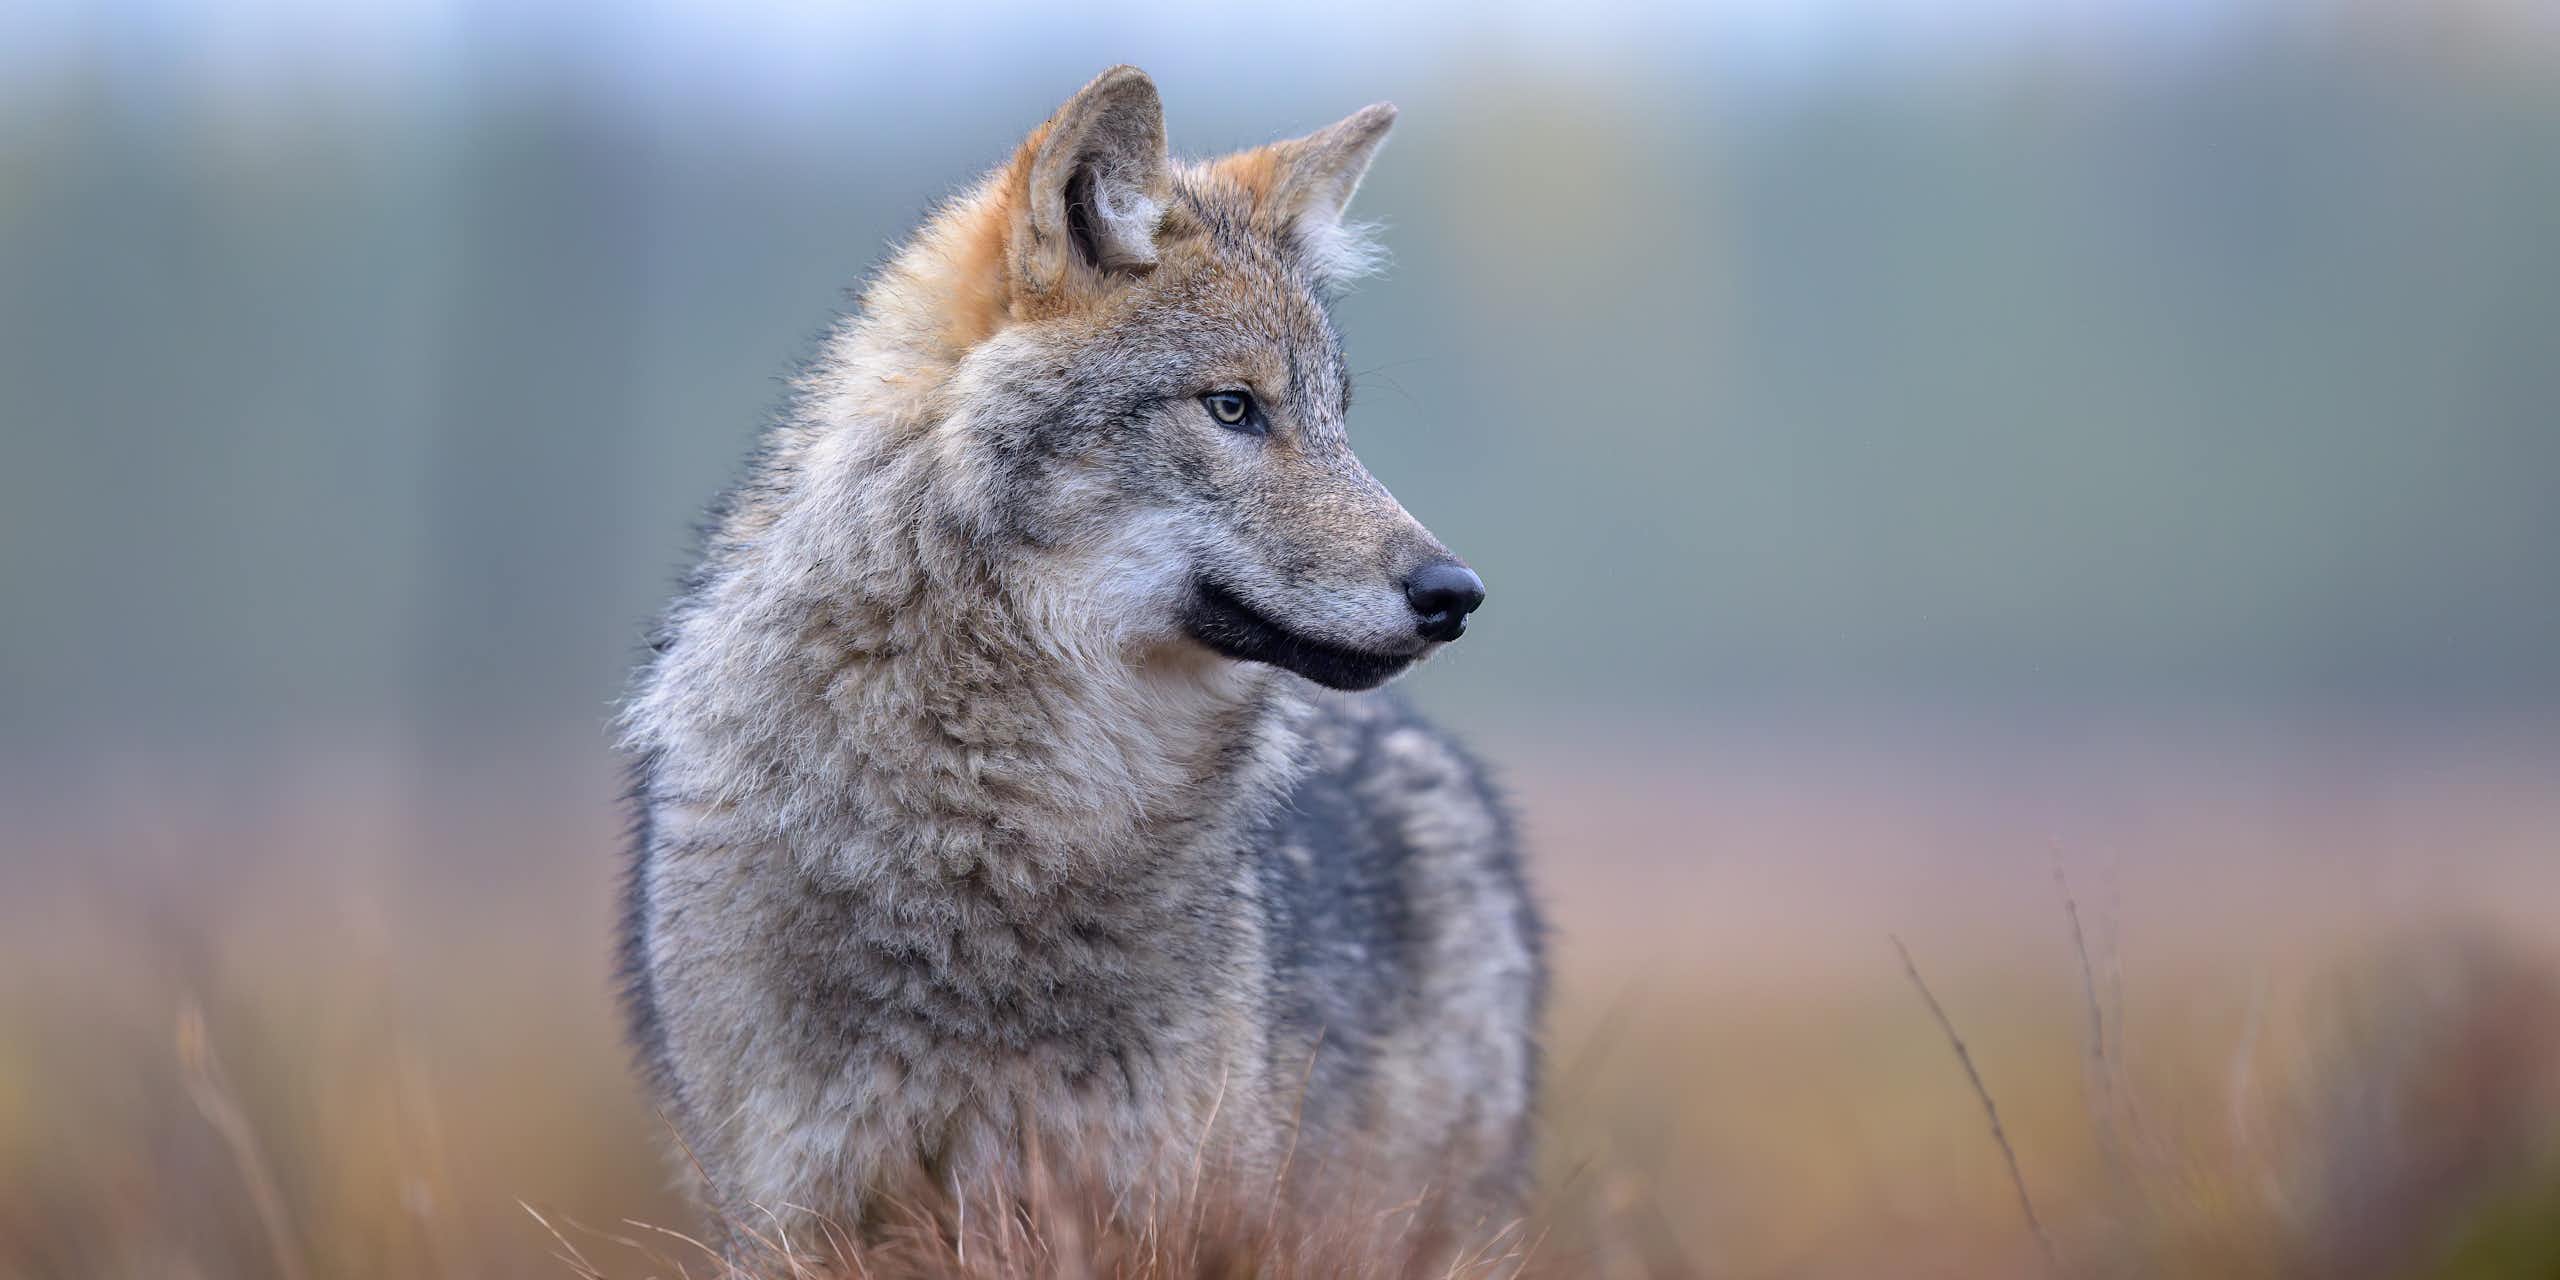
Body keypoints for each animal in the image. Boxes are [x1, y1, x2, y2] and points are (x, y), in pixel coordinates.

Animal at [618, 66, 1545, 1251]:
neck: (992, 829)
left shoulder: (1157, 1204)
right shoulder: (797, 1215)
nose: (1454, 593)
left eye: (1338, 418)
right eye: (1234, 406)